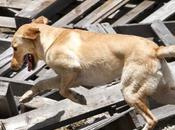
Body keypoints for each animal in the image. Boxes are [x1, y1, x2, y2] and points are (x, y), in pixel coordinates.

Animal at [11, 16, 175, 130]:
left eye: (14, 48)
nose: (12, 67)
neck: (50, 39)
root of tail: (156, 49)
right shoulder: (66, 76)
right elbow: (41, 83)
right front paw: (26, 97)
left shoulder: (72, 69)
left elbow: (63, 91)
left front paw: (78, 98)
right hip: (162, 92)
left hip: (130, 92)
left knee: (152, 120)